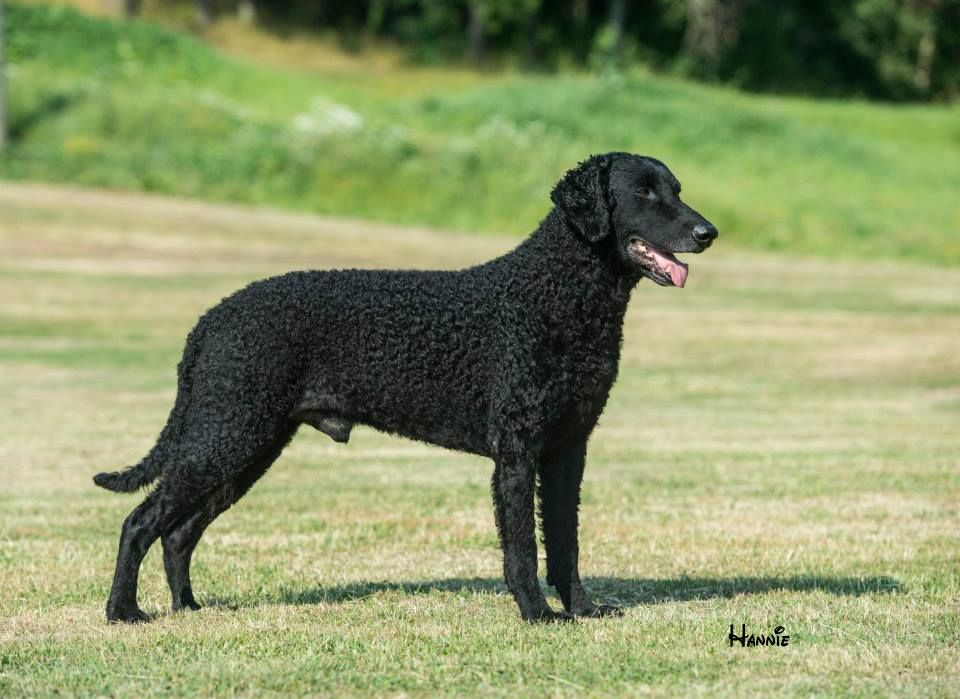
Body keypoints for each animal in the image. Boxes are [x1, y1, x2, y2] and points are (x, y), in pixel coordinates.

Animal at [94, 152, 716, 624]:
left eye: (677, 190)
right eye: (644, 193)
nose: (708, 232)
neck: (555, 296)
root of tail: (211, 320)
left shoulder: (568, 448)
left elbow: (565, 541)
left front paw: (583, 609)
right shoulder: (516, 451)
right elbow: (521, 546)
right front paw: (537, 614)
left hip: (244, 445)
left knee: (179, 533)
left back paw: (190, 607)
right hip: (225, 434)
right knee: (140, 522)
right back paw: (124, 612)